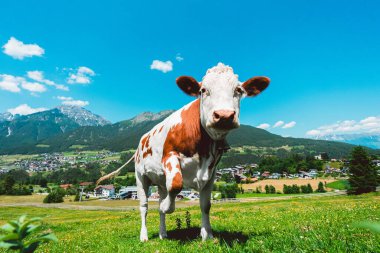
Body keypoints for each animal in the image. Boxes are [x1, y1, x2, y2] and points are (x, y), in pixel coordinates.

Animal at [97, 63, 270, 241]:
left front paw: (207, 235)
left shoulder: (211, 171)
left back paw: (163, 233)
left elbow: (205, 205)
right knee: (144, 206)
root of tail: (140, 143)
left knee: (160, 198)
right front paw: (167, 207)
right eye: (203, 90)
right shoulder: (170, 156)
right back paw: (144, 236)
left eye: (238, 90)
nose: (224, 115)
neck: (204, 150)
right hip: (140, 176)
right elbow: (175, 186)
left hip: (160, 180)